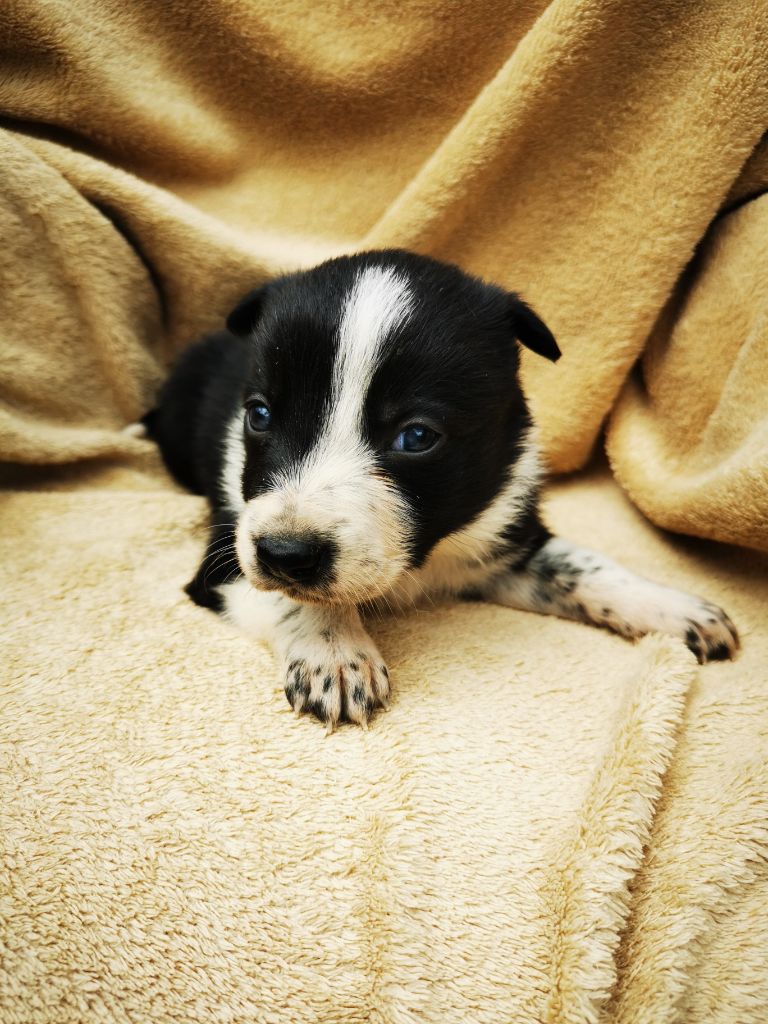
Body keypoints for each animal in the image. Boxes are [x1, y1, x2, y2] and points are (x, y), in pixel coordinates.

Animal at [143, 247, 741, 729]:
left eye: (417, 436)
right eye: (260, 415)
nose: (286, 553)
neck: (424, 560)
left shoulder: (499, 528)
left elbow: (580, 566)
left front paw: (675, 608)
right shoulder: (227, 556)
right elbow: (295, 599)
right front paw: (334, 655)